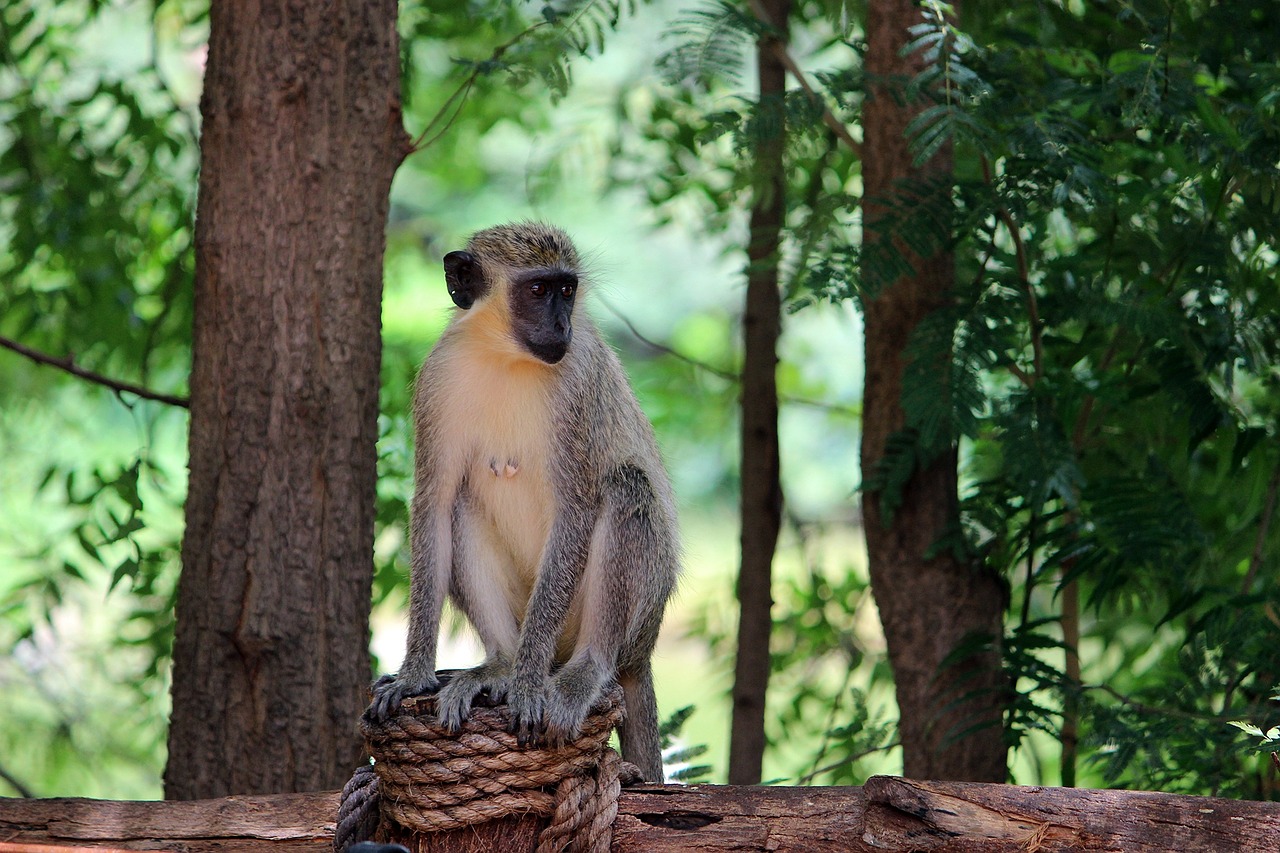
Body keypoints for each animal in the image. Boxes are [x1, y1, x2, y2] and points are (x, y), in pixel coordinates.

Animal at [366, 220, 686, 783]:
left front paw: (530, 684)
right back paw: (498, 666)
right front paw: (412, 676)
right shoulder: (437, 380)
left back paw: (581, 670)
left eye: (567, 289)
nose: (561, 327)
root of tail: (643, 650)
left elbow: (576, 508)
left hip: (635, 613)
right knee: (460, 504)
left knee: (625, 486)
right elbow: (435, 504)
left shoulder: (577, 381)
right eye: (538, 290)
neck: (504, 355)